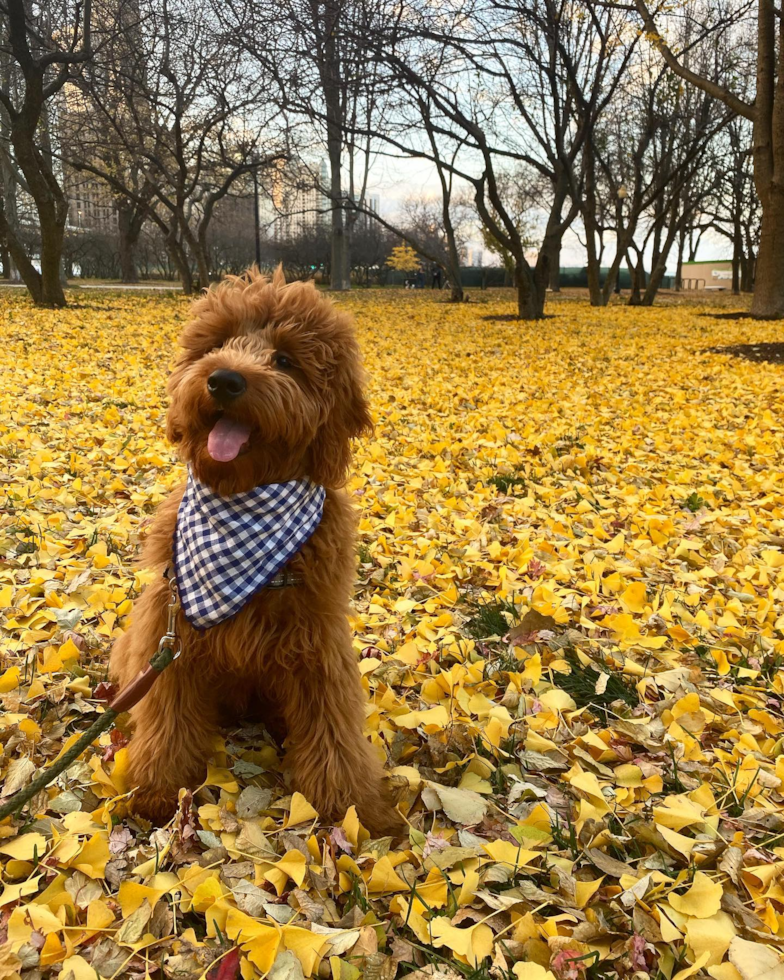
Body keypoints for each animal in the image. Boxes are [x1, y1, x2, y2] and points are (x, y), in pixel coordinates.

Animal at [108, 266, 404, 836]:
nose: (224, 379)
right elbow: (166, 718)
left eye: (286, 360)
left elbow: (333, 725)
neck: (241, 501)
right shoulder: (172, 629)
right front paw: (157, 788)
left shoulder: (317, 640)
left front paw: (351, 807)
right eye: (218, 343)